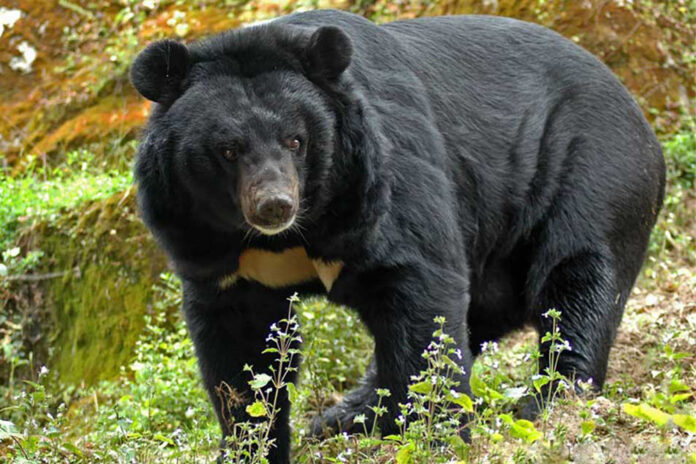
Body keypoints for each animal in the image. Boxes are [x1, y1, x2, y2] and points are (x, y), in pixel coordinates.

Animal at [130, 9, 665, 463]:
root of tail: (641, 115)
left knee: (577, 282)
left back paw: (548, 399)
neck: (287, 237)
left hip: (594, 172)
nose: (274, 205)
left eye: (296, 140)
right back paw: (345, 415)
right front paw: (250, 448)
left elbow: (422, 293)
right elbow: (239, 356)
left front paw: (436, 436)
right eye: (227, 149)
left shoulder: (381, 181)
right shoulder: (204, 241)